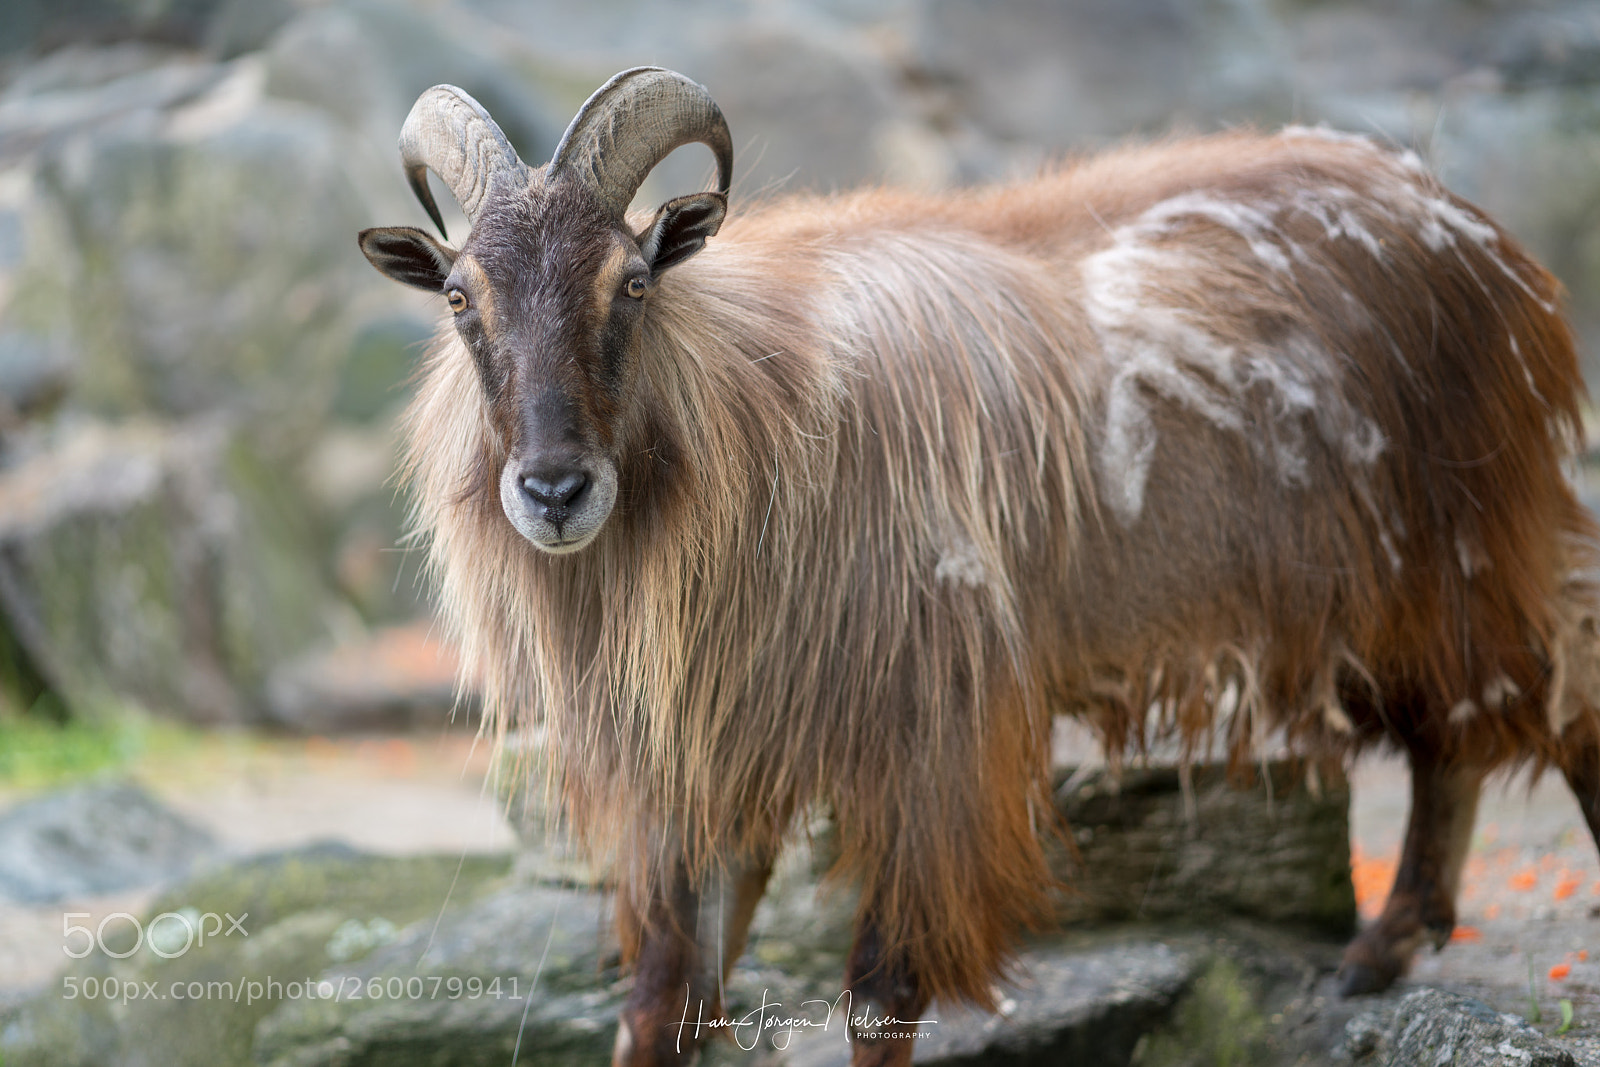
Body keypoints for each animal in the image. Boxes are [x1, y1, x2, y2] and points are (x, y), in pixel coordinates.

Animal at [358, 68, 1600, 1067]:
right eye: (461, 295)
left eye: (630, 281)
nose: (554, 489)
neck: (762, 417)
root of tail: (1484, 238)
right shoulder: (712, 763)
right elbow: (667, 1001)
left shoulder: (929, 748)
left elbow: (880, 996)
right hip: (1398, 584)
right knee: (1454, 734)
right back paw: (1379, 951)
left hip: (1464, 540)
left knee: (1557, 690)